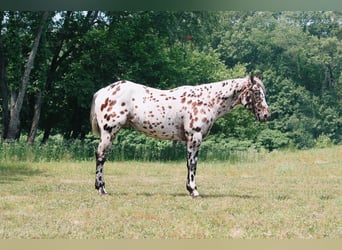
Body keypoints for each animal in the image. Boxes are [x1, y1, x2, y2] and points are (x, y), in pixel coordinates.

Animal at [90, 74, 270, 197]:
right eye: (256, 93)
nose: (266, 115)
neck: (207, 101)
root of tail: (103, 91)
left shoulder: (189, 140)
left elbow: (188, 164)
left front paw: (189, 189)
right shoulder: (195, 137)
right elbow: (193, 164)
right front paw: (194, 191)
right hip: (109, 132)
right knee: (101, 156)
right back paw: (102, 189)